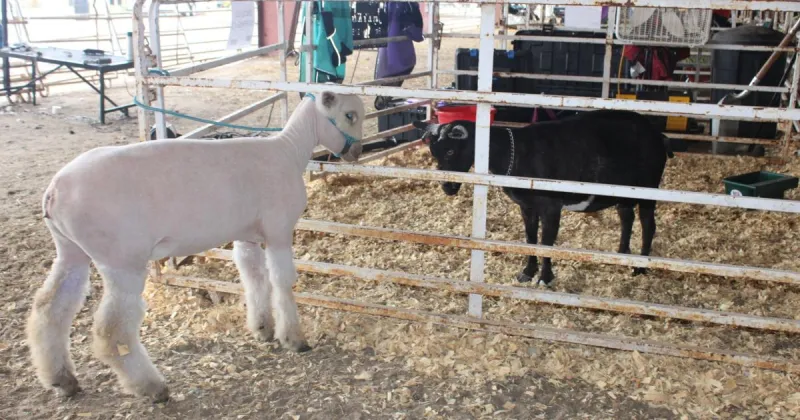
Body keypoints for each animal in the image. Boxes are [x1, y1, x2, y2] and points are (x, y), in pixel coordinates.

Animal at [26, 91, 365, 402]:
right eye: (349, 115)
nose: (357, 152)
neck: (289, 150)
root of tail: (53, 191)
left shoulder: (247, 235)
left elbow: (254, 278)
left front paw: (262, 329)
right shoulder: (279, 229)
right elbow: (282, 282)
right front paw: (294, 339)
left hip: (71, 250)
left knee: (50, 308)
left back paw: (61, 379)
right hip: (121, 258)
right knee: (112, 330)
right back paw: (151, 387)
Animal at [413, 109, 674, 286]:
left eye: (450, 150)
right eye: (433, 152)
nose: (447, 187)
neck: (515, 152)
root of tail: (657, 135)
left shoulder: (551, 206)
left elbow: (547, 242)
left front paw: (545, 278)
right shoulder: (527, 206)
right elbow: (530, 238)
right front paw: (528, 272)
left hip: (649, 187)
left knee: (648, 224)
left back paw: (640, 268)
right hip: (624, 191)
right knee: (626, 217)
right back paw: (621, 254)